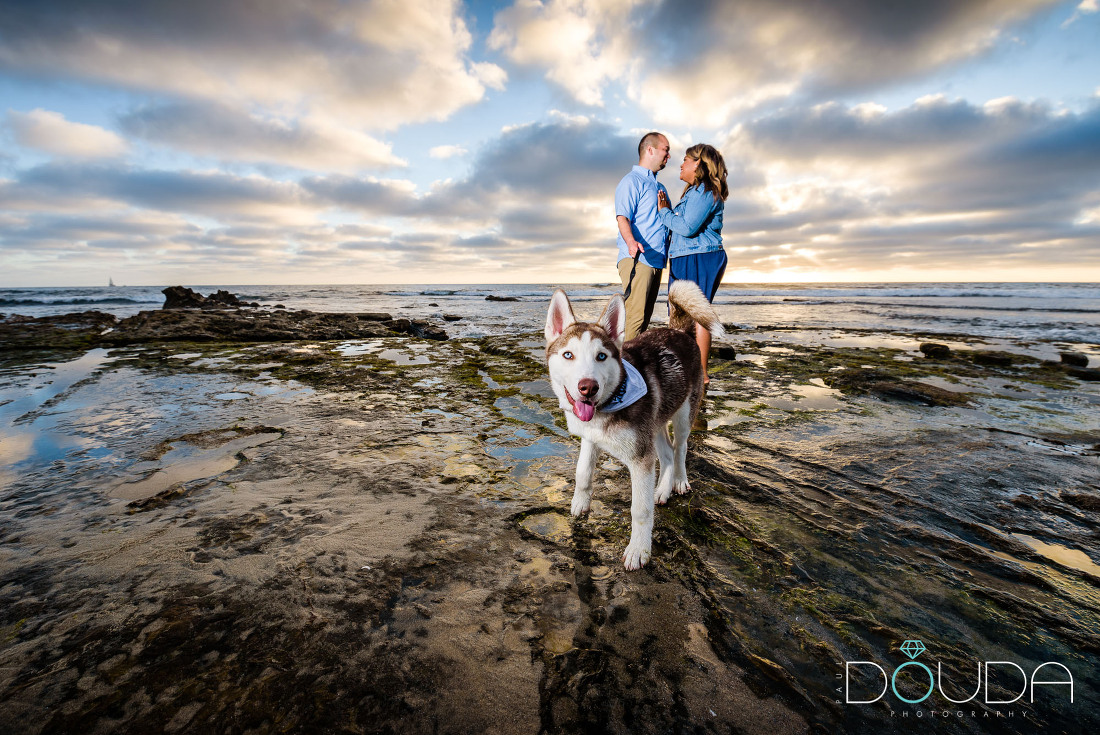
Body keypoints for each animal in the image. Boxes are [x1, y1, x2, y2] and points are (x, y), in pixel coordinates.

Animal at [547, 279, 721, 567]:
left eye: (602, 356)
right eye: (568, 355)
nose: (588, 388)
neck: (608, 402)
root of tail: (678, 330)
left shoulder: (641, 459)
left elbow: (640, 509)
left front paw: (639, 549)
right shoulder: (591, 437)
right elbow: (582, 473)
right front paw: (580, 502)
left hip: (683, 414)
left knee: (680, 449)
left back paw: (679, 481)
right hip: (656, 422)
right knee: (667, 454)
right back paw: (661, 490)